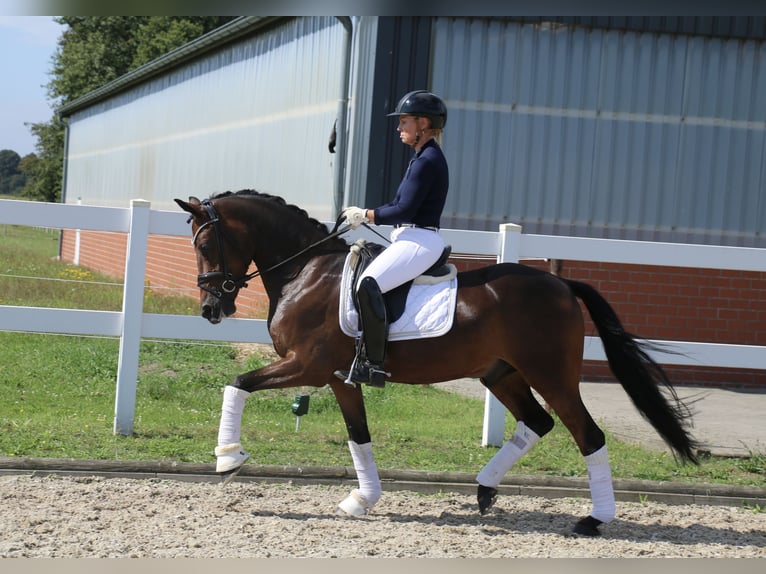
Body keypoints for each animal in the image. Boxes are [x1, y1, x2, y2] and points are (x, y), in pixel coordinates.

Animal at [176, 191, 704, 536]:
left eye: (204, 245)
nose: (211, 310)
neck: (305, 272)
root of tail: (560, 284)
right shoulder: (338, 377)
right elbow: (358, 435)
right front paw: (362, 499)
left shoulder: (306, 365)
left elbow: (237, 382)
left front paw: (228, 458)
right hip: (501, 373)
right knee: (537, 422)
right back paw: (485, 490)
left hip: (550, 374)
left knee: (587, 435)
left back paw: (594, 519)